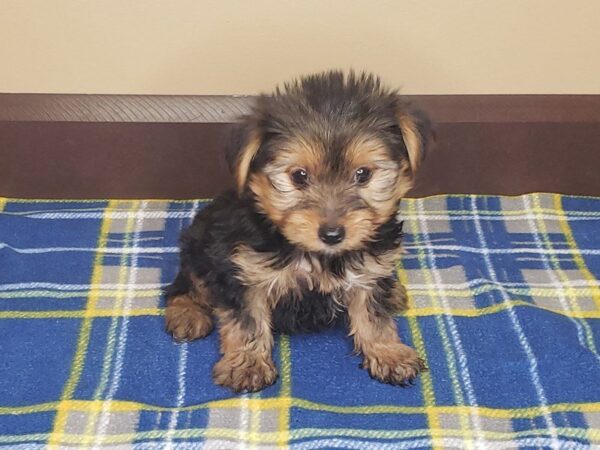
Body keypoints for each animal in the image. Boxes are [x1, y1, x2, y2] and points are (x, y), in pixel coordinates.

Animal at [166, 72, 434, 392]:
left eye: (363, 174)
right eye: (299, 176)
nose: (332, 234)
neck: (319, 256)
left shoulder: (373, 265)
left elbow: (373, 312)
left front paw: (387, 351)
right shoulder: (241, 270)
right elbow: (247, 319)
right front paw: (247, 363)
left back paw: (392, 292)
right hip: (200, 242)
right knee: (186, 284)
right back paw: (186, 313)